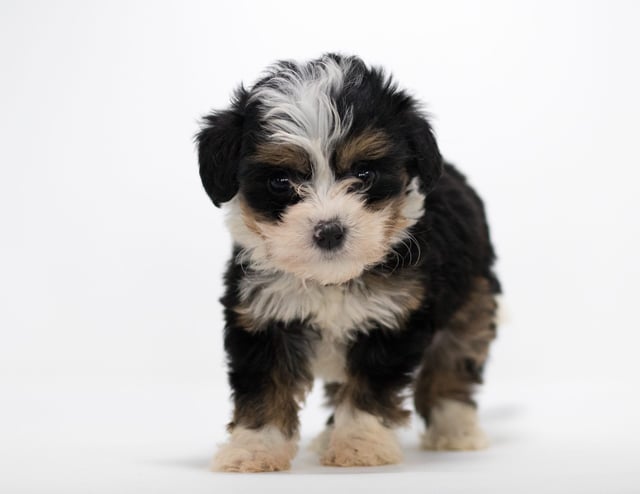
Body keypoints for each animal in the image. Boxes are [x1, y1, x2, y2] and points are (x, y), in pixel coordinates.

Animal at [195, 53, 500, 470]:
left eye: (364, 173)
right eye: (280, 181)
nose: (329, 231)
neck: (330, 279)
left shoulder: (392, 317)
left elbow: (369, 387)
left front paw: (360, 444)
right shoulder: (263, 316)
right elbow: (264, 386)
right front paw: (255, 448)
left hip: (470, 299)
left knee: (452, 362)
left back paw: (456, 429)